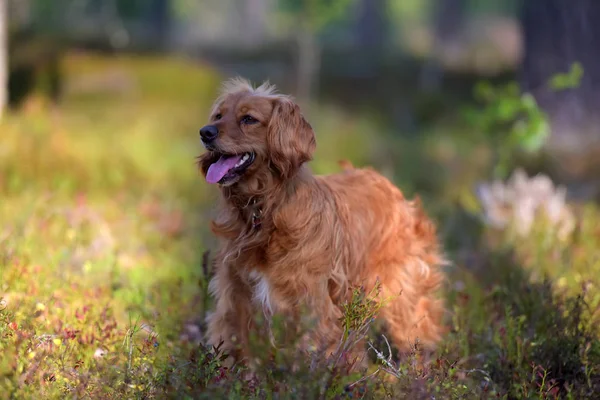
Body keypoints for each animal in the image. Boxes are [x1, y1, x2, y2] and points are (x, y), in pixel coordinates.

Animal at [197, 77, 446, 366]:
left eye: (248, 119)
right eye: (218, 115)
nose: (205, 132)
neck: (264, 210)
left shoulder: (310, 304)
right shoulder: (236, 299)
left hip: (400, 293)